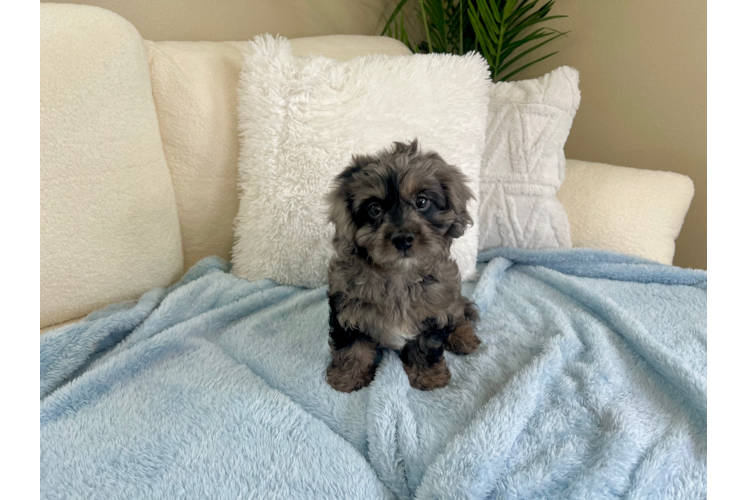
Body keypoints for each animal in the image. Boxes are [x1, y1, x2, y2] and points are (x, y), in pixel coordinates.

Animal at [326, 139, 480, 392]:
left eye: (422, 202)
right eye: (374, 209)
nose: (403, 239)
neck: (398, 274)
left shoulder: (435, 310)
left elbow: (426, 346)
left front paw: (429, 377)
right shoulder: (347, 308)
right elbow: (353, 347)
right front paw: (347, 377)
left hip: (451, 296)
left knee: (460, 312)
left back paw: (463, 337)